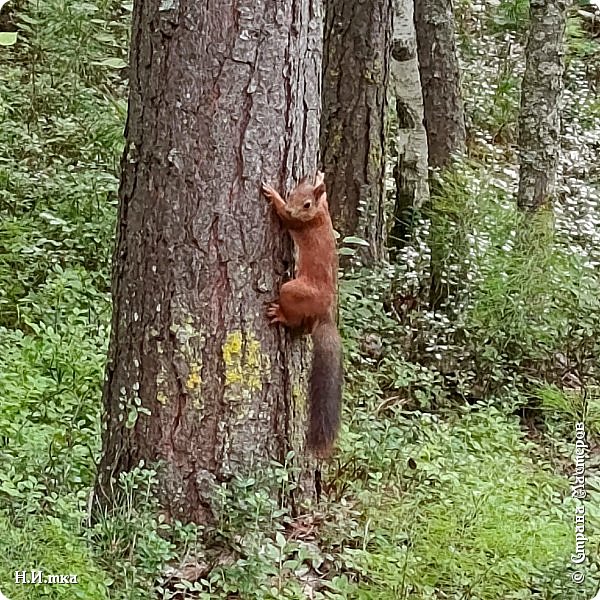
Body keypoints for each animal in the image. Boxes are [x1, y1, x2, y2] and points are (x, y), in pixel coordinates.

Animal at [262, 171, 342, 458]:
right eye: (294, 192)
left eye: (306, 204)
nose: (289, 207)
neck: (320, 213)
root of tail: (326, 313)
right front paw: (319, 175)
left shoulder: (299, 223)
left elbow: (286, 219)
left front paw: (273, 194)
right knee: (306, 327)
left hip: (294, 290)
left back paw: (281, 315)